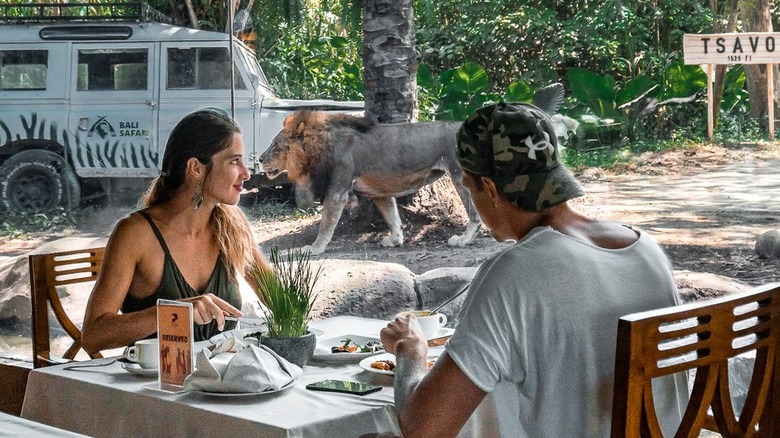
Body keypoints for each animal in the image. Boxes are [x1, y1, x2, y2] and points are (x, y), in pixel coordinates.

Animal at [260, 109, 482, 255]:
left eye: (274, 145)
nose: (260, 159)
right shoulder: (380, 193)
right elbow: (392, 217)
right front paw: (395, 240)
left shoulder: (337, 191)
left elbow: (326, 225)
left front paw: (314, 248)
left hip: (460, 175)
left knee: (475, 214)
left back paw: (464, 239)